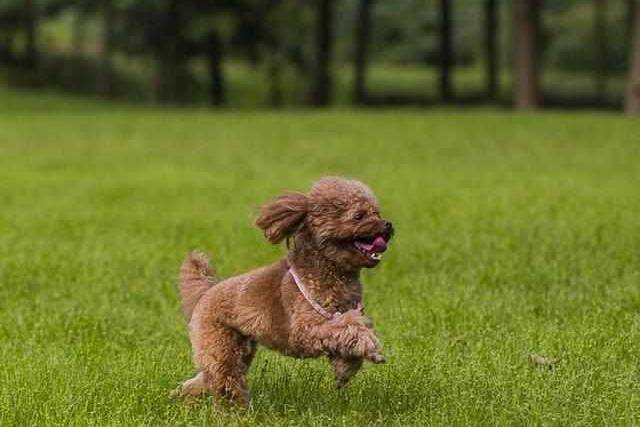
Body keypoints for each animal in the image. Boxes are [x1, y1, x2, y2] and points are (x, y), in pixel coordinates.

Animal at [176, 177, 396, 408]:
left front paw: (346, 370)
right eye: (359, 215)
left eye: (377, 213)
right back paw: (236, 410)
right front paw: (369, 344)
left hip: (238, 348)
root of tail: (206, 292)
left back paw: (183, 397)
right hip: (219, 344)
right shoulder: (304, 330)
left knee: (205, 378)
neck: (332, 272)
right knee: (225, 380)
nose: (388, 225)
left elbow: (349, 341)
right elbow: (350, 327)